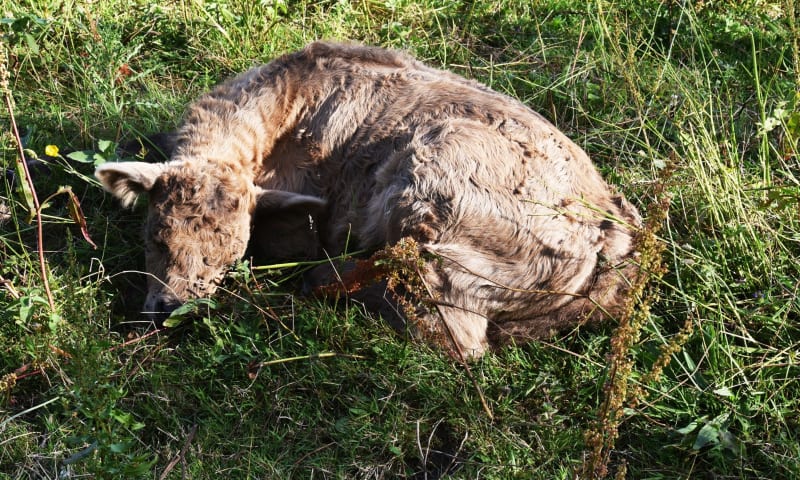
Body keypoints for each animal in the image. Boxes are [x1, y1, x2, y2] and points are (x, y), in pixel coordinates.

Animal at [97, 41, 640, 358]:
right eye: (156, 238)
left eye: (229, 259)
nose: (171, 308)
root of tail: (612, 242)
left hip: (435, 202)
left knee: (452, 337)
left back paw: (317, 285)